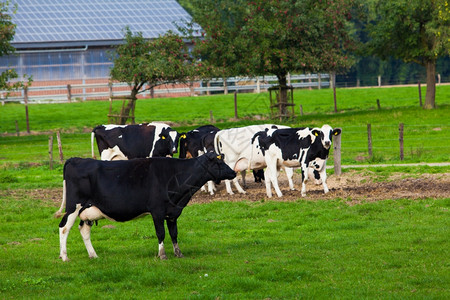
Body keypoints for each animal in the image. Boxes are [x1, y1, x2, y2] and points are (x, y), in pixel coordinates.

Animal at [54, 152, 236, 260]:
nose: (233, 172)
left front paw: (178, 253)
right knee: (64, 227)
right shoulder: (157, 211)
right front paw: (162, 255)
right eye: (219, 163)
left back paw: (93, 255)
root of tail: (76, 159)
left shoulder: (173, 212)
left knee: (84, 230)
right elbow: (161, 233)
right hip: (74, 206)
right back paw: (64, 257)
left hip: (87, 210)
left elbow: (174, 233)